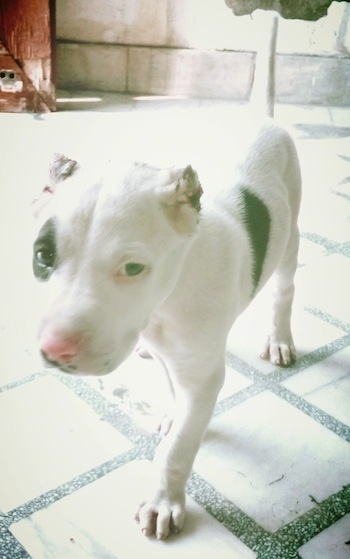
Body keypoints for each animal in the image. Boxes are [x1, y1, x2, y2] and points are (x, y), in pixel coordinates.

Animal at [32, 15, 300, 540]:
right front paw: (174, 413)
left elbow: (178, 450)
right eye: (41, 257)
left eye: (134, 268)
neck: (166, 300)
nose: (55, 351)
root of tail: (258, 118)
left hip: (291, 232)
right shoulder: (168, 351)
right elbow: (172, 387)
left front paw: (164, 500)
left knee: (283, 289)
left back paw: (279, 337)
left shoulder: (204, 373)